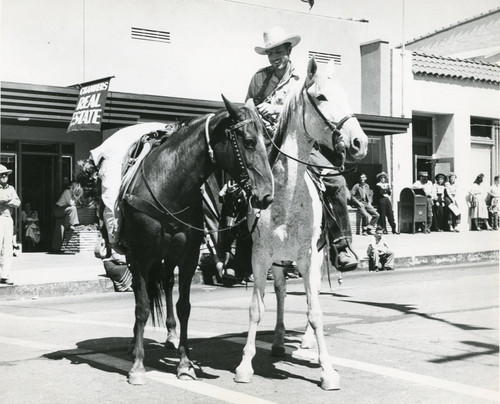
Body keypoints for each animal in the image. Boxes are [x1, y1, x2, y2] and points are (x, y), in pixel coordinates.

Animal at [124, 96, 274, 384]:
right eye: (249, 141)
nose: (267, 196)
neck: (168, 185)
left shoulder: (188, 256)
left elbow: (184, 306)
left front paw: (185, 364)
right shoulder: (141, 256)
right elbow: (142, 306)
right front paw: (137, 365)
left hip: (169, 257)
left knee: (167, 283)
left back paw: (171, 335)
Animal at [234, 57, 368, 392]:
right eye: (321, 97)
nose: (359, 143)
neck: (285, 196)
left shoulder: (309, 256)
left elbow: (315, 311)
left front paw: (328, 371)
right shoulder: (260, 257)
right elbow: (257, 308)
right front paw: (244, 366)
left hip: (317, 258)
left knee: (314, 295)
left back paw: (307, 343)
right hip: (280, 262)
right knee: (282, 292)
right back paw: (279, 341)